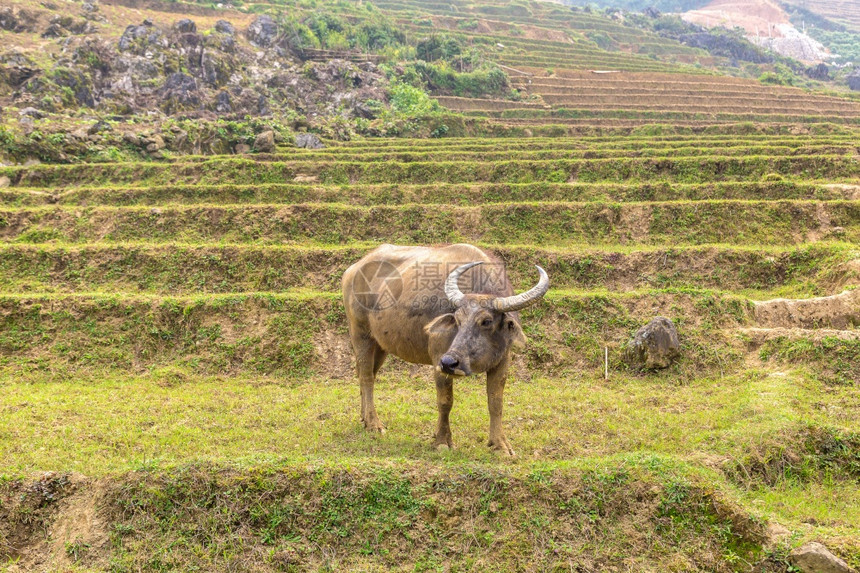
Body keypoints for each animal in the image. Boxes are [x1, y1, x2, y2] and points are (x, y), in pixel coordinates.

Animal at [340, 242, 548, 456]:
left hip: (380, 344)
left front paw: (500, 445)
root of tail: (353, 270)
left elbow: (496, 402)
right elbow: (445, 401)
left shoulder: (503, 359)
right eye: (457, 318)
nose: (450, 362)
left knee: (369, 374)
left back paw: (364, 418)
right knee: (366, 377)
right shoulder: (438, 357)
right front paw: (442, 441)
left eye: (487, 321)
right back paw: (374, 424)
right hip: (360, 334)